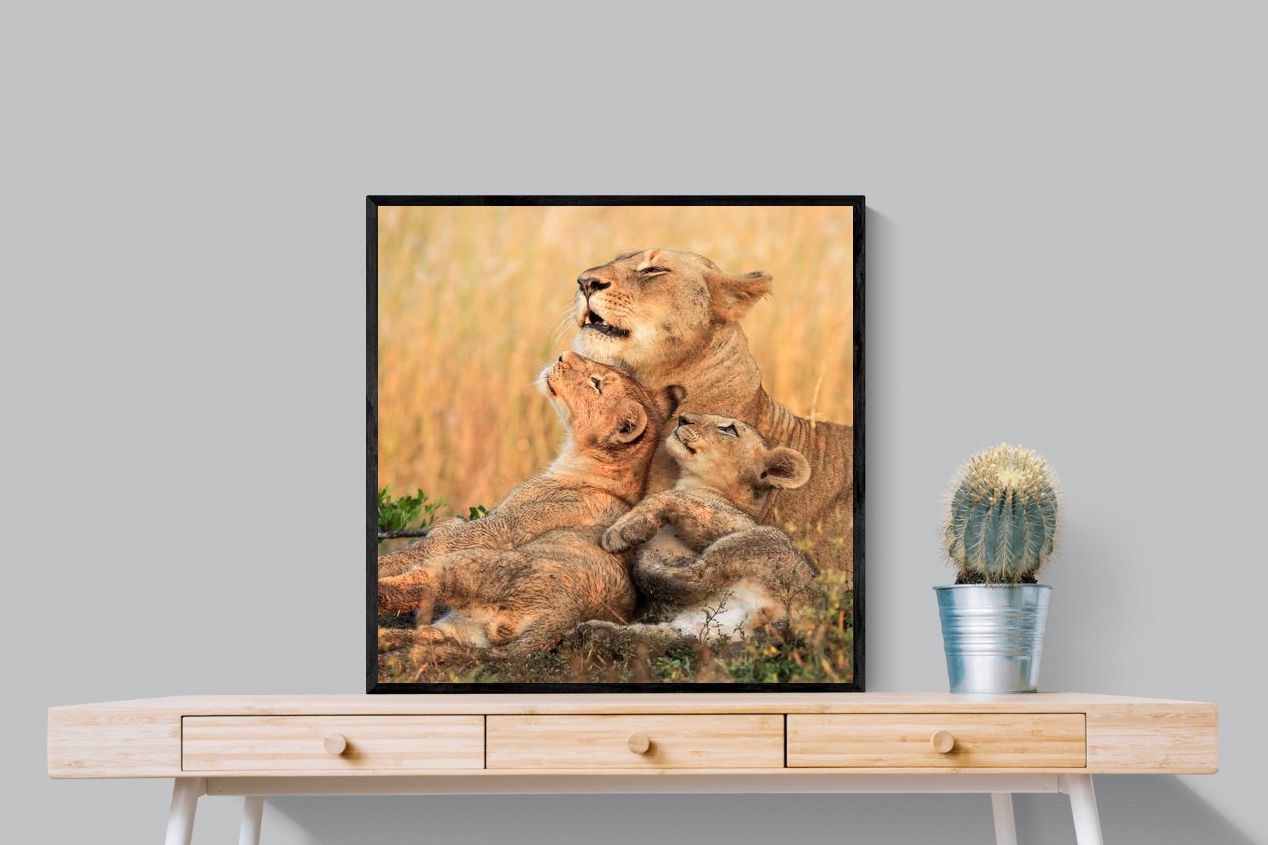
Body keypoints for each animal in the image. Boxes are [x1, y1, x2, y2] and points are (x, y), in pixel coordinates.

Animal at [377, 352, 683, 658]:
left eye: (596, 383)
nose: (563, 355)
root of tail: (558, 620)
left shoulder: (500, 528)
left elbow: (426, 545)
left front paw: (391, 558)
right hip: (463, 631)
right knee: (427, 638)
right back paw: (384, 638)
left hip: (471, 565)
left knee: (413, 587)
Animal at [587, 412, 817, 642]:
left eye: (729, 429)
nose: (682, 418)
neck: (695, 483)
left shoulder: (733, 522)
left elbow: (669, 496)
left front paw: (621, 531)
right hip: (700, 629)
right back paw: (593, 631)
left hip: (759, 539)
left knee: (697, 576)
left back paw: (646, 563)